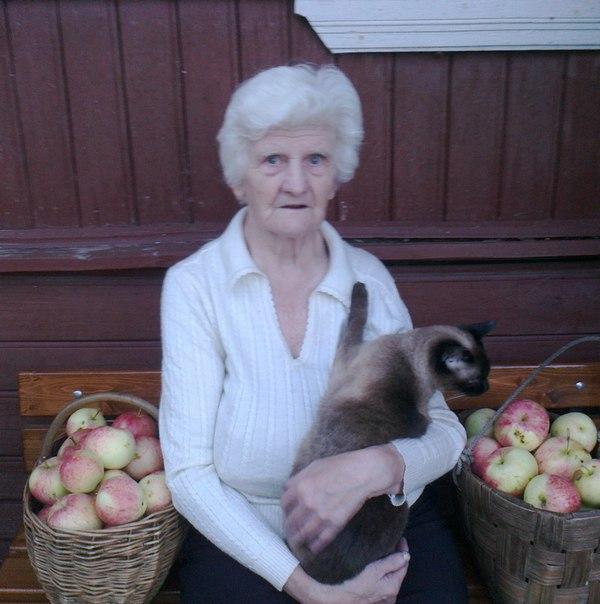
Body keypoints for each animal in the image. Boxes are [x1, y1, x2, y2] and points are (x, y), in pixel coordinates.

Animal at [288, 281, 493, 584]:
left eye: (485, 376)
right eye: (477, 379)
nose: (486, 387)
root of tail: (330, 581)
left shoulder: (348, 355)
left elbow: (357, 313)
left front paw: (358, 286)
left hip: (400, 508)